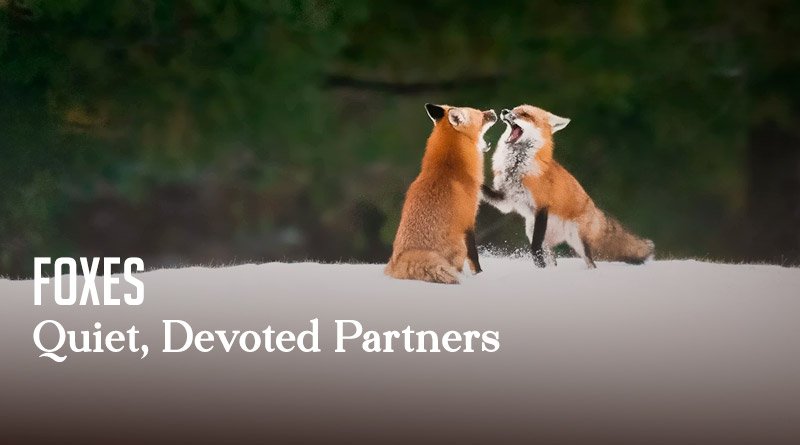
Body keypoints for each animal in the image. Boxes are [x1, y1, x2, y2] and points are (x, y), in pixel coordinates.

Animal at [385, 103, 498, 284]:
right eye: (481, 115)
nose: (494, 112)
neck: (447, 167)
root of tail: (407, 258)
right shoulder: (468, 220)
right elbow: (474, 257)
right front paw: (479, 274)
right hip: (460, 245)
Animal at [481, 105, 654, 268]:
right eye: (513, 109)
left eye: (525, 114)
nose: (504, 111)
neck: (517, 168)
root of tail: (593, 207)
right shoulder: (506, 200)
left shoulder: (542, 206)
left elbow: (535, 248)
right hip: (533, 230)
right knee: (553, 261)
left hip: (575, 239)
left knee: (591, 263)